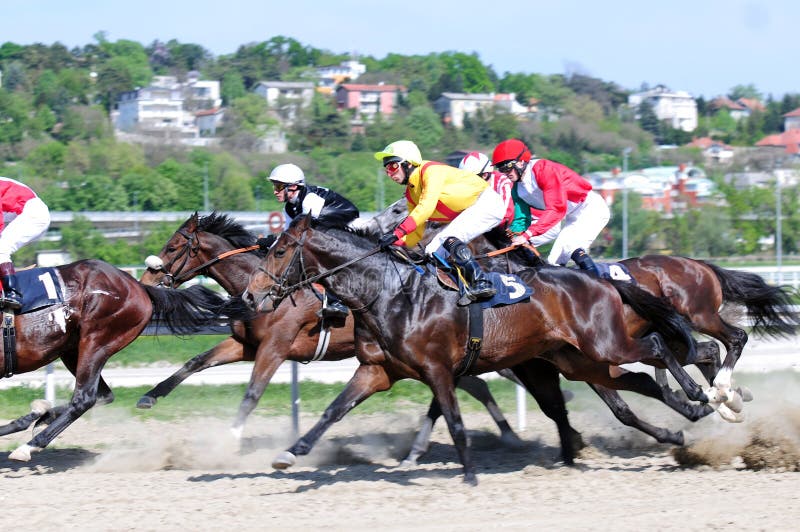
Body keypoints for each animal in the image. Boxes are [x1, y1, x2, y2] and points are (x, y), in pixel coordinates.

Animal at [0, 260, 225, 460]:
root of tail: (137, 285)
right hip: (72, 350)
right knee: (103, 395)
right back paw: (40, 416)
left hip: (96, 342)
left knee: (84, 399)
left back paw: (29, 446)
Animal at [138, 212, 520, 444]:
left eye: (172, 246)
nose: (145, 281)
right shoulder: (244, 344)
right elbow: (195, 362)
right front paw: (149, 396)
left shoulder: (275, 347)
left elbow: (252, 393)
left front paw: (230, 439)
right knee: (475, 384)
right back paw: (503, 434)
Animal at [242, 216, 708, 486]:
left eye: (280, 250)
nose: (250, 296)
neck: (391, 293)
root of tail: (600, 278)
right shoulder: (377, 370)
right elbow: (333, 411)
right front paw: (291, 452)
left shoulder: (438, 369)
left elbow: (454, 420)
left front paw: (467, 474)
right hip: (582, 360)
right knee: (640, 381)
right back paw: (682, 423)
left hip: (605, 343)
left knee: (658, 346)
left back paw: (699, 395)